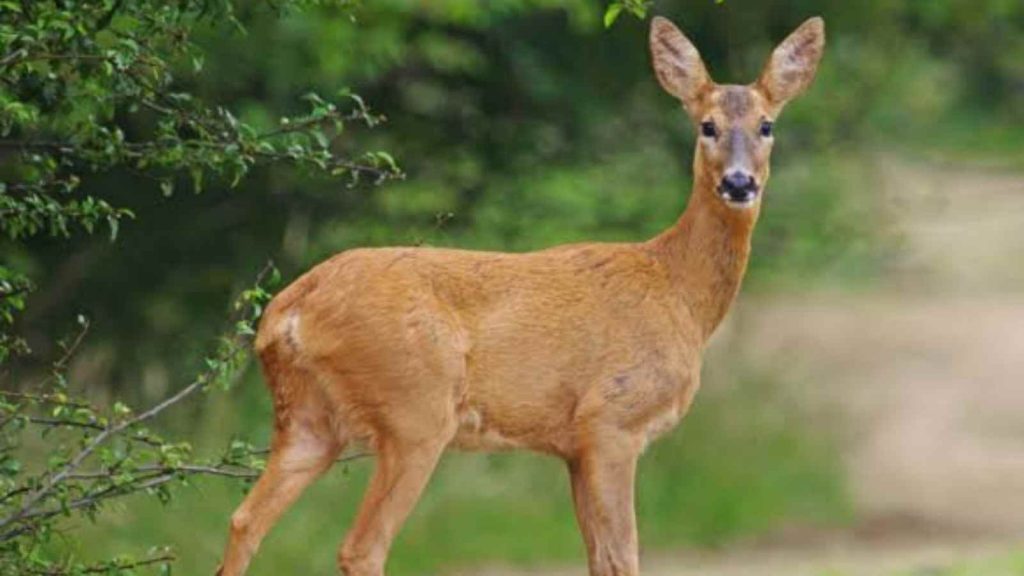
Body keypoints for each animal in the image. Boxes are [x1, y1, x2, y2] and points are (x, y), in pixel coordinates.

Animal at [216, 13, 823, 573]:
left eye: (767, 125)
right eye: (707, 126)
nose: (739, 183)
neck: (679, 291)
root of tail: (287, 312)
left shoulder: (573, 446)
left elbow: (600, 558)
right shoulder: (611, 420)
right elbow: (624, 556)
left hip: (308, 419)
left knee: (244, 519)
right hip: (414, 408)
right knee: (361, 546)